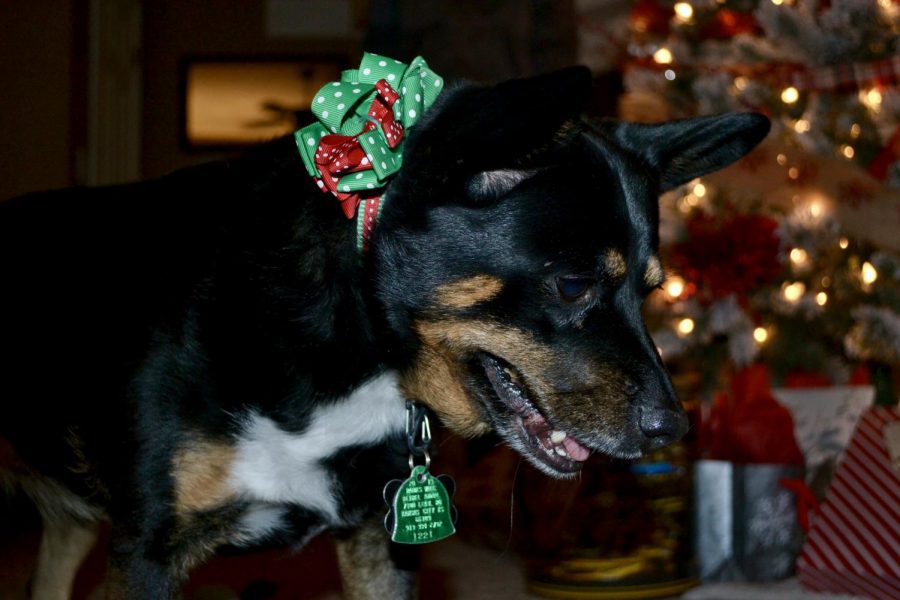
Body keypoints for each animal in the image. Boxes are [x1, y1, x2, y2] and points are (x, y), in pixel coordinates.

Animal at [0, 62, 768, 600]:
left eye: (651, 292)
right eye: (574, 285)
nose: (672, 430)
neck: (348, 338)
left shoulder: (381, 544)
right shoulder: (148, 551)